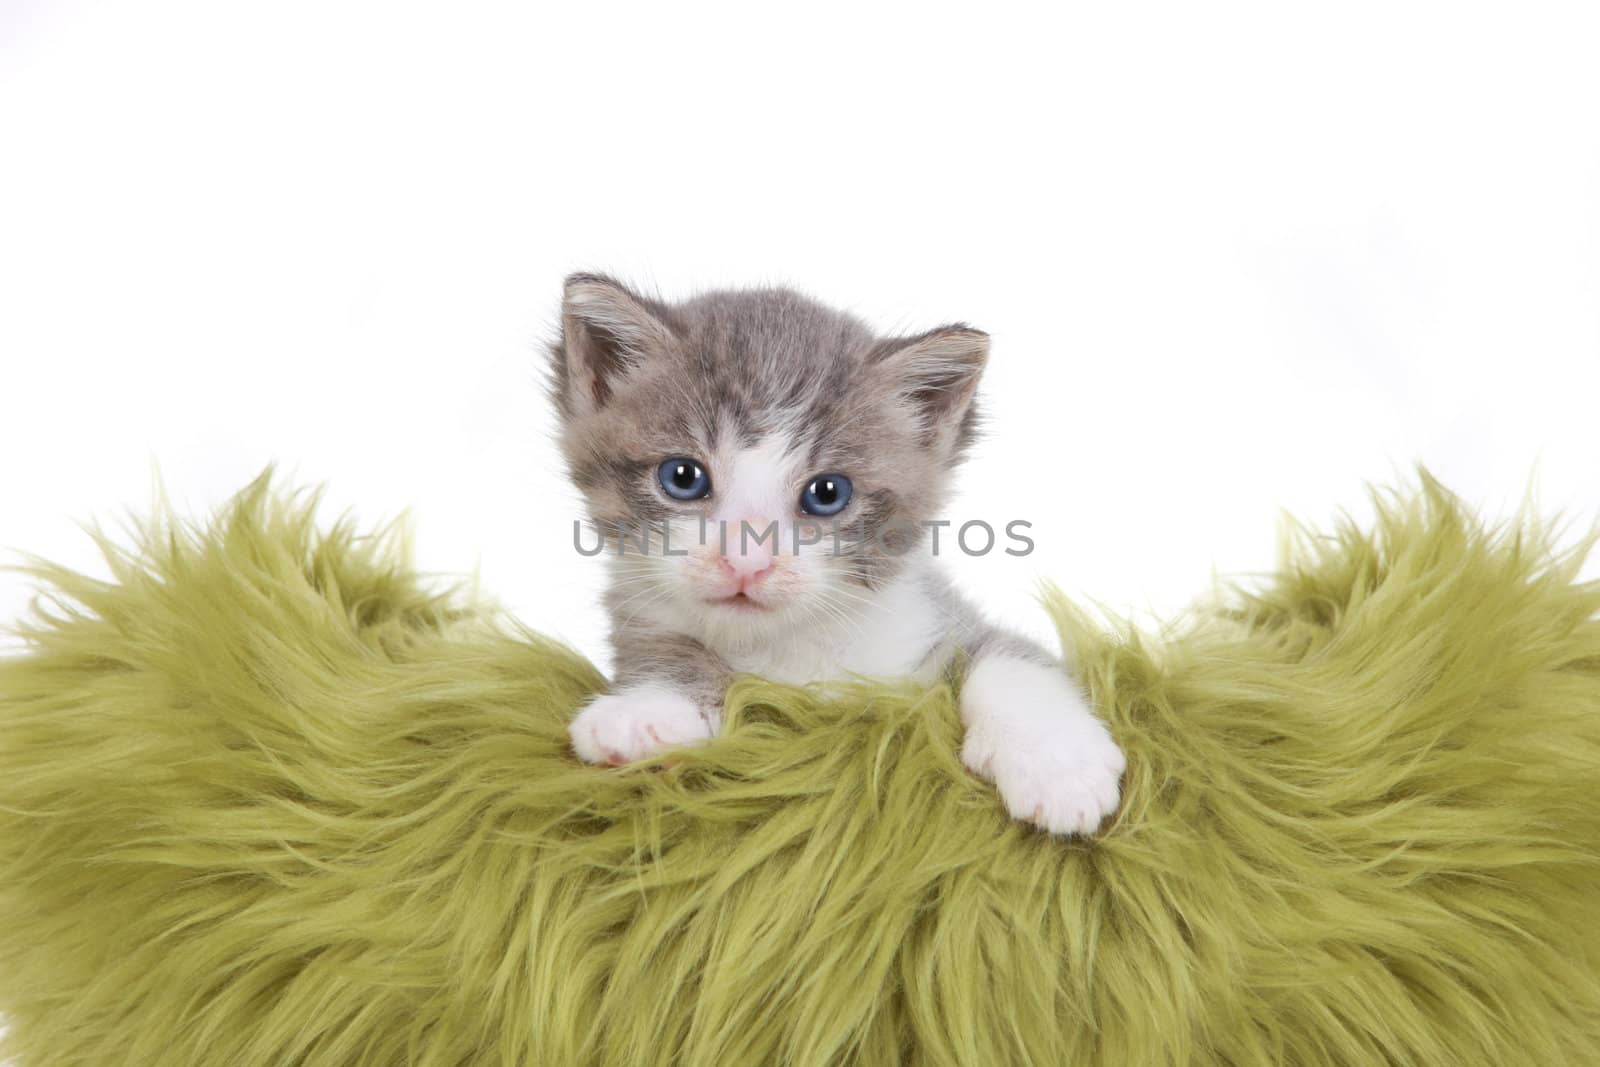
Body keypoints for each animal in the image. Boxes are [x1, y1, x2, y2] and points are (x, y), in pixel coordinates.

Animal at [550, 275, 1126, 831]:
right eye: (683, 477)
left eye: (827, 492)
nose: (746, 561)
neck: (787, 646)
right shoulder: (643, 616)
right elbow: (664, 651)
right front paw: (646, 711)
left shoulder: (931, 617)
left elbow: (1007, 657)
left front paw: (1057, 766)